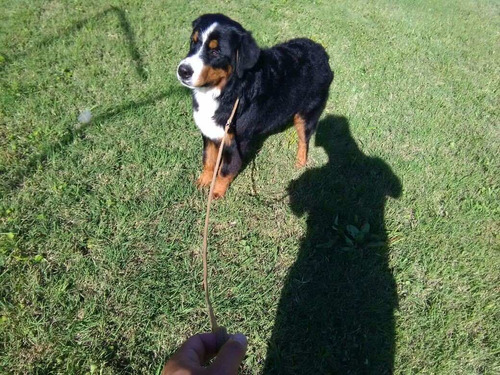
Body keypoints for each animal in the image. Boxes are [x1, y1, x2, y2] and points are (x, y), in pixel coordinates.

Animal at [178, 13, 334, 198]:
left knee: (304, 140)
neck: (227, 91)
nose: (183, 71)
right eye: (193, 42)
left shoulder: (237, 141)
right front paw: (203, 182)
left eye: (215, 51)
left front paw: (215, 193)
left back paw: (300, 163)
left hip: (307, 114)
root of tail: (320, 50)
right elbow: (208, 160)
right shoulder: (210, 132)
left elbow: (225, 170)